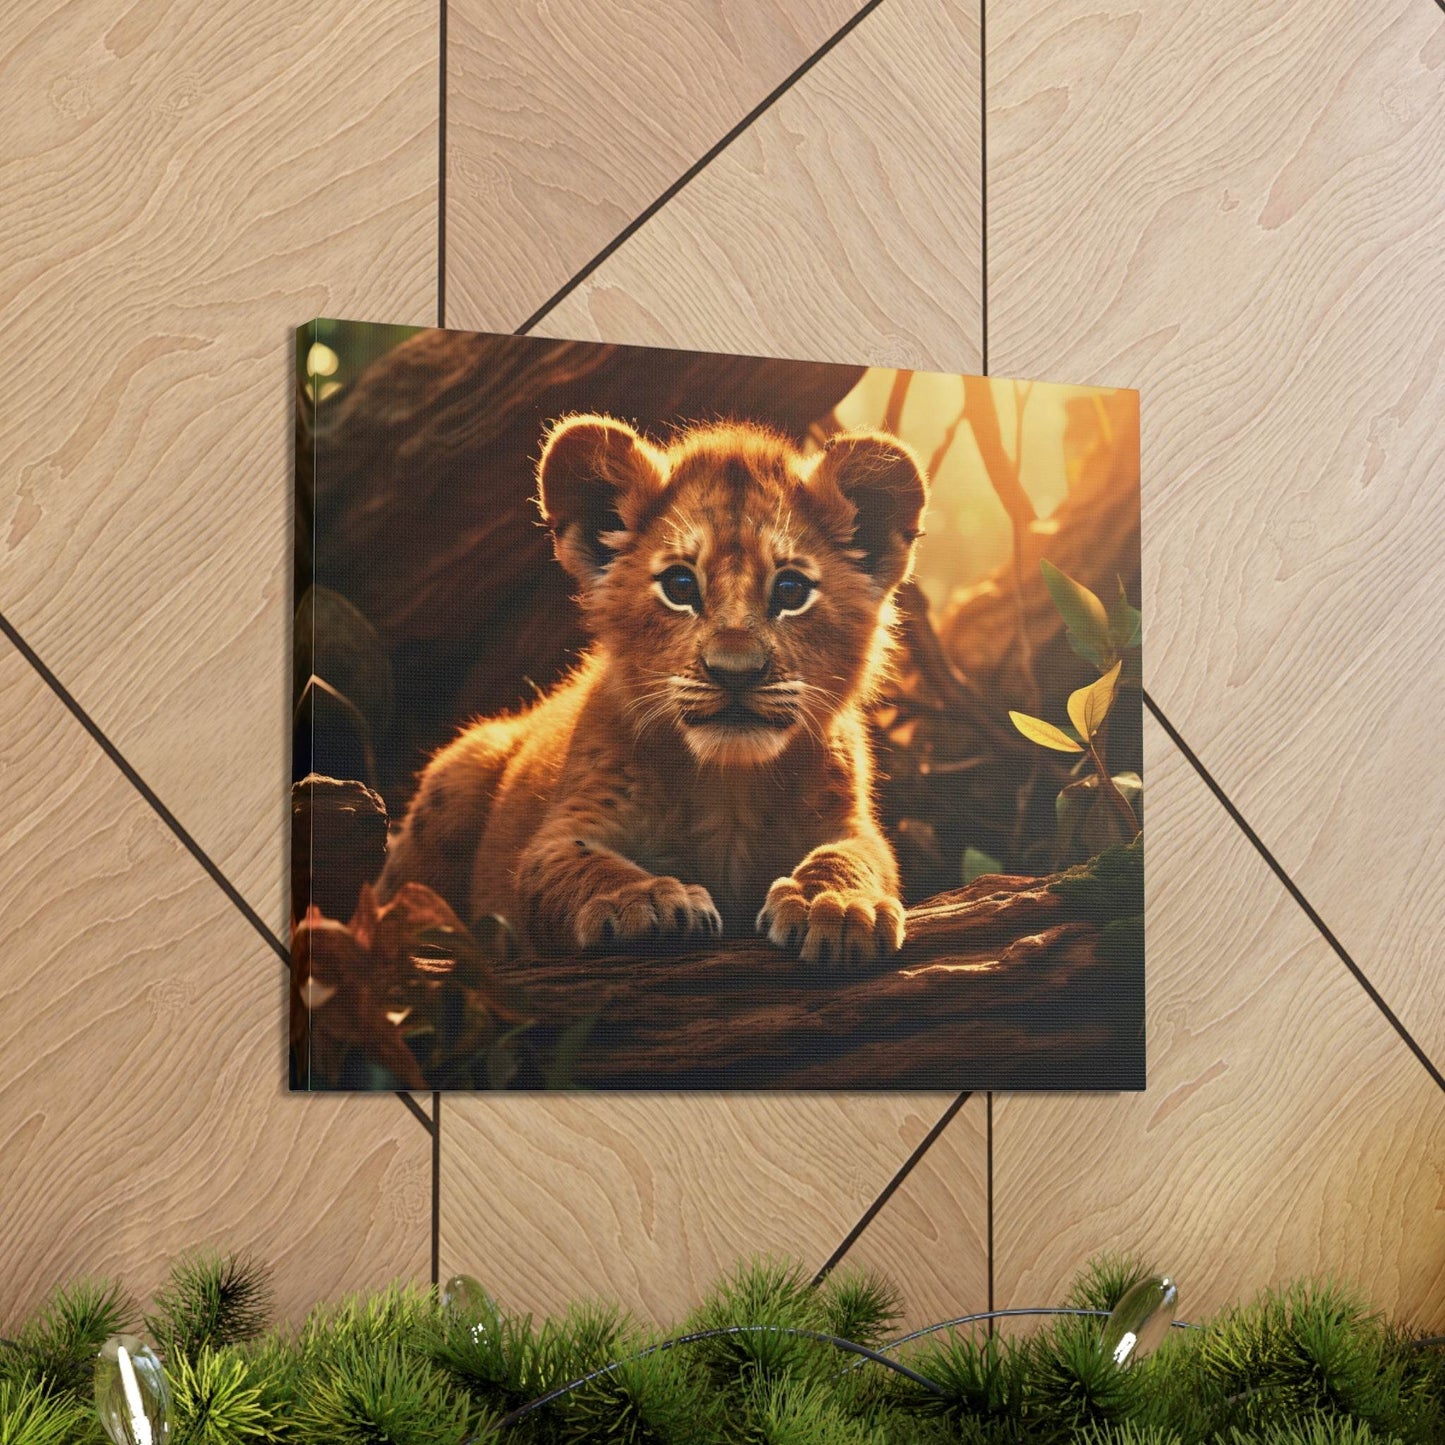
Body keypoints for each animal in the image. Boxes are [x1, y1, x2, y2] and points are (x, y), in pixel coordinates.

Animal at [376, 414, 929, 966]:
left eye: (791, 590)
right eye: (680, 586)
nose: (734, 671)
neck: (728, 786)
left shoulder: (851, 823)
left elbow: (851, 856)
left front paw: (836, 904)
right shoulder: (561, 831)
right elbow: (582, 865)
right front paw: (645, 899)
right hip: (461, 770)